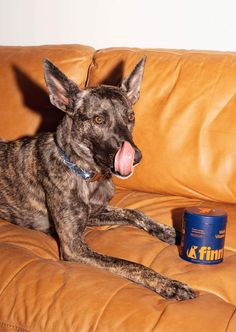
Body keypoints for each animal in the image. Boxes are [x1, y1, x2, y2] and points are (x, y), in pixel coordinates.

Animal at [0, 57, 195, 300]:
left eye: (131, 117)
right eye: (98, 119)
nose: (136, 158)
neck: (86, 173)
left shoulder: (94, 214)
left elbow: (134, 212)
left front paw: (169, 231)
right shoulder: (73, 246)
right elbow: (127, 263)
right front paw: (168, 283)